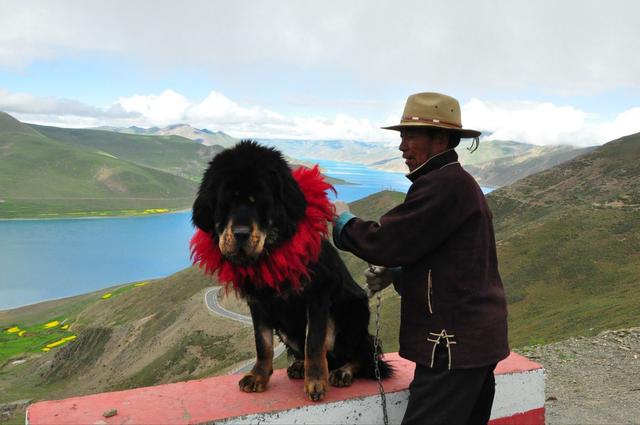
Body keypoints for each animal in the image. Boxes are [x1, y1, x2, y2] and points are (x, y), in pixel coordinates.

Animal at [189, 141, 390, 400]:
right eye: (226, 203)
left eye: (260, 202)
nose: (241, 234)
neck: (272, 252)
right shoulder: (258, 302)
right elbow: (263, 343)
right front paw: (259, 376)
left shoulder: (318, 295)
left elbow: (313, 342)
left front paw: (316, 381)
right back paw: (300, 366)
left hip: (350, 315)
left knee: (364, 355)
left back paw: (342, 371)